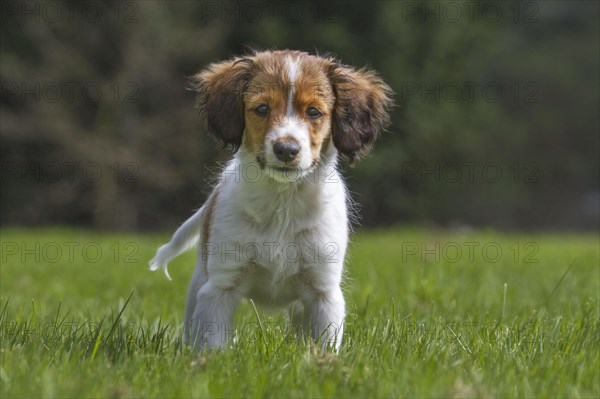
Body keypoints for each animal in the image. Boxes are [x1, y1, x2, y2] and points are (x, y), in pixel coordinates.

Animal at [150, 49, 394, 350]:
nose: (286, 149)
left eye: (314, 112)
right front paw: (211, 360)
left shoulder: (323, 292)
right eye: (262, 109)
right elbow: (214, 343)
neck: (282, 202)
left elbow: (324, 344)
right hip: (200, 281)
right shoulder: (220, 287)